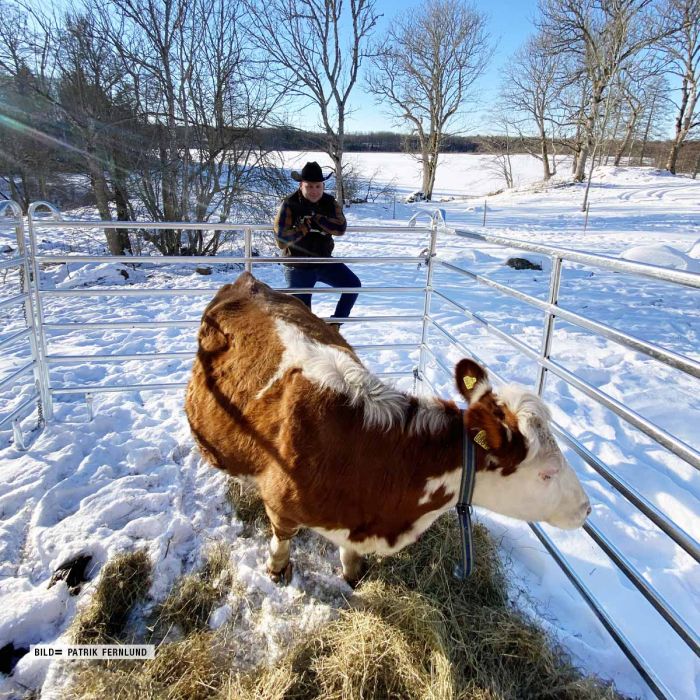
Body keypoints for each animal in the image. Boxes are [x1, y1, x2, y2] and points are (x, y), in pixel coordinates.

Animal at [185, 274, 592, 584]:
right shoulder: (281, 506)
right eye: (546, 473)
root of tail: (249, 281)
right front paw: (277, 569)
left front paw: (352, 575)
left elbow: (350, 561)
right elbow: (282, 540)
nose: (586, 509)